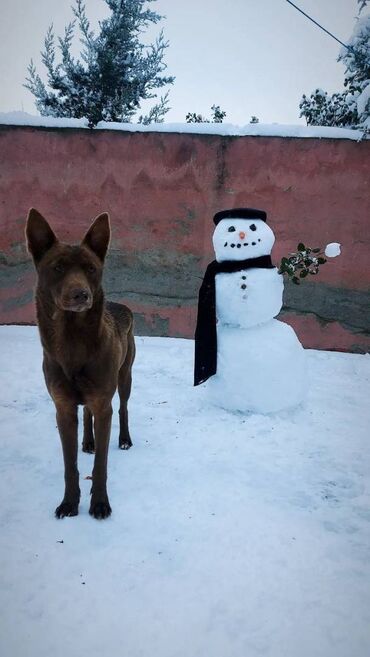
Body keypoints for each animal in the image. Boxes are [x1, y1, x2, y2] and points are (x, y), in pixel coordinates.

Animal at [26, 209, 136, 516]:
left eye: (90, 268)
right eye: (58, 268)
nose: (81, 295)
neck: (72, 341)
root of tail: (120, 306)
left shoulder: (103, 405)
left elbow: (101, 465)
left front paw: (99, 503)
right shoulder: (62, 409)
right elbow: (69, 465)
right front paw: (68, 502)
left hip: (125, 376)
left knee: (123, 408)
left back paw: (124, 439)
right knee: (86, 413)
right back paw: (88, 441)